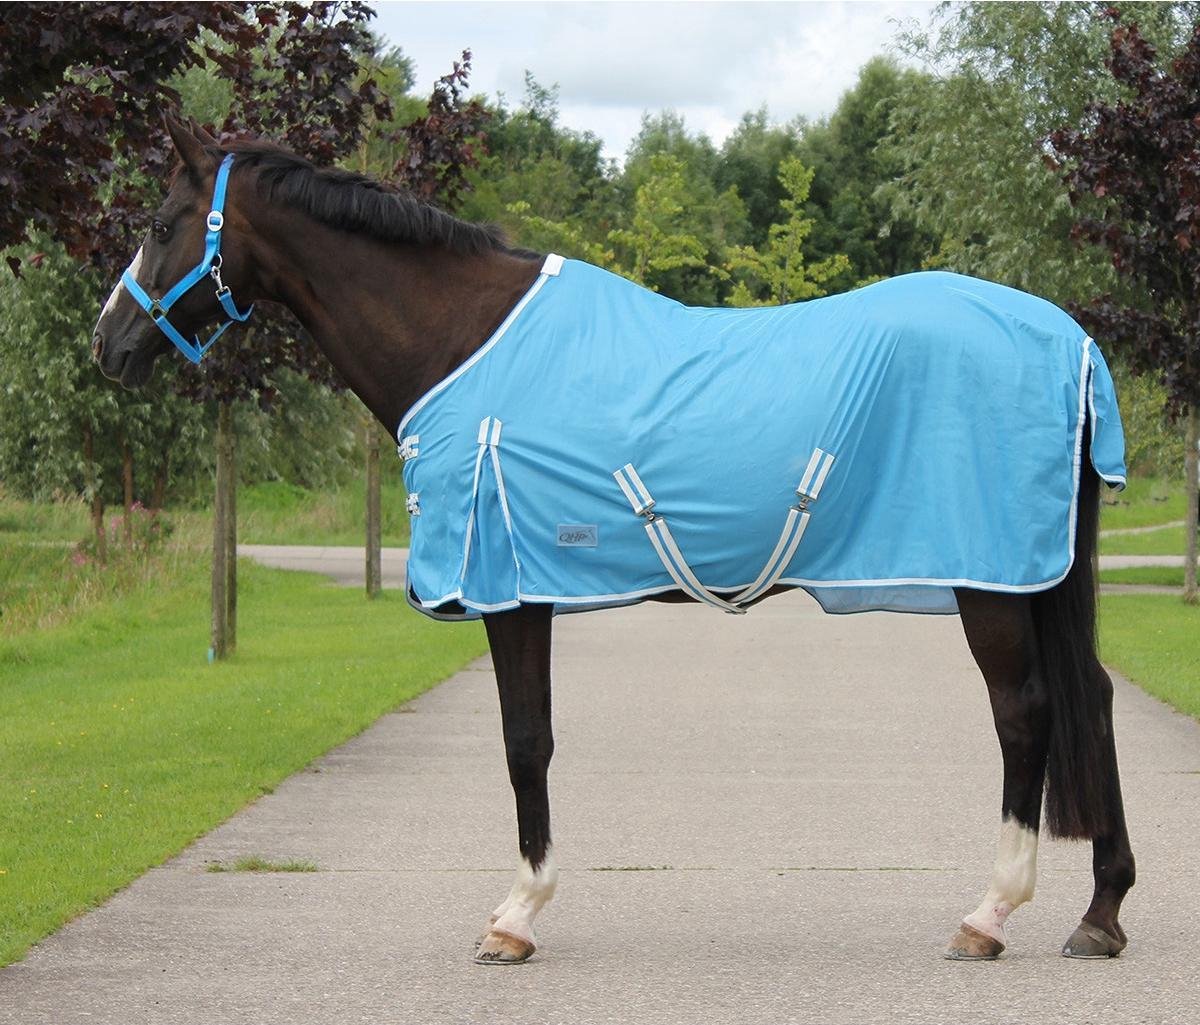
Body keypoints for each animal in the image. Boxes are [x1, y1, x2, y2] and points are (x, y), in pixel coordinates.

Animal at [92, 117, 1135, 965]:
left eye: (159, 222)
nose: (107, 344)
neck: (463, 339)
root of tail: (1070, 343)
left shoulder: (511, 592)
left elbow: (525, 741)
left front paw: (516, 915)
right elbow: (534, 738)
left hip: (991, 582)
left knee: (1026, 714)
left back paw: (990, 914)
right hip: (1031, 580)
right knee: (1088, 697)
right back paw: (1101, 910)